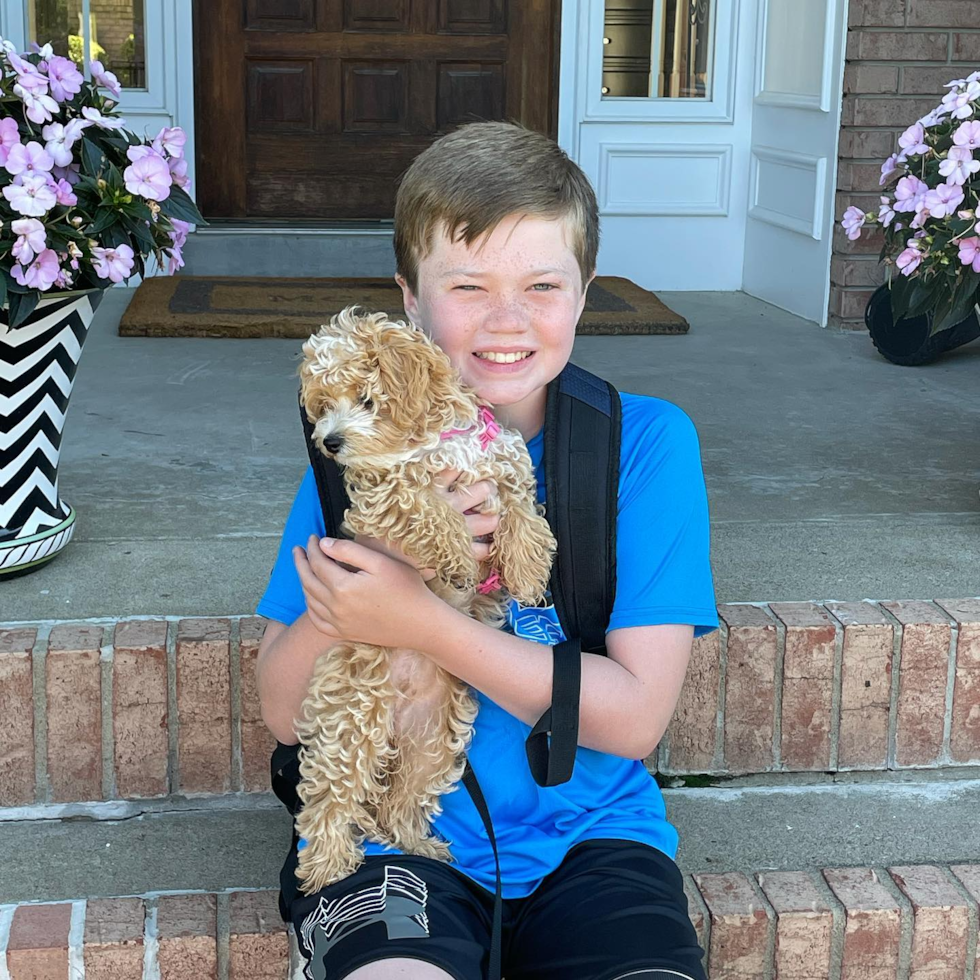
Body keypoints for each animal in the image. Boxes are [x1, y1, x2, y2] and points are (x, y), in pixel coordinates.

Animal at [290, 304, 556, 896]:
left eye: (366, 399)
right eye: (324, 404)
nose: (329, 442)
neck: (434, 438)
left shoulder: (506, 466)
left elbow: (523, 513)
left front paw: (528, 570)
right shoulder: (382, 498)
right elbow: (425, 505)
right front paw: (456, 552)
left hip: (433, 743)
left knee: (399, 801)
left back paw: (422, 846)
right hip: (354, 718)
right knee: (330, 798)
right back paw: (327, 865)